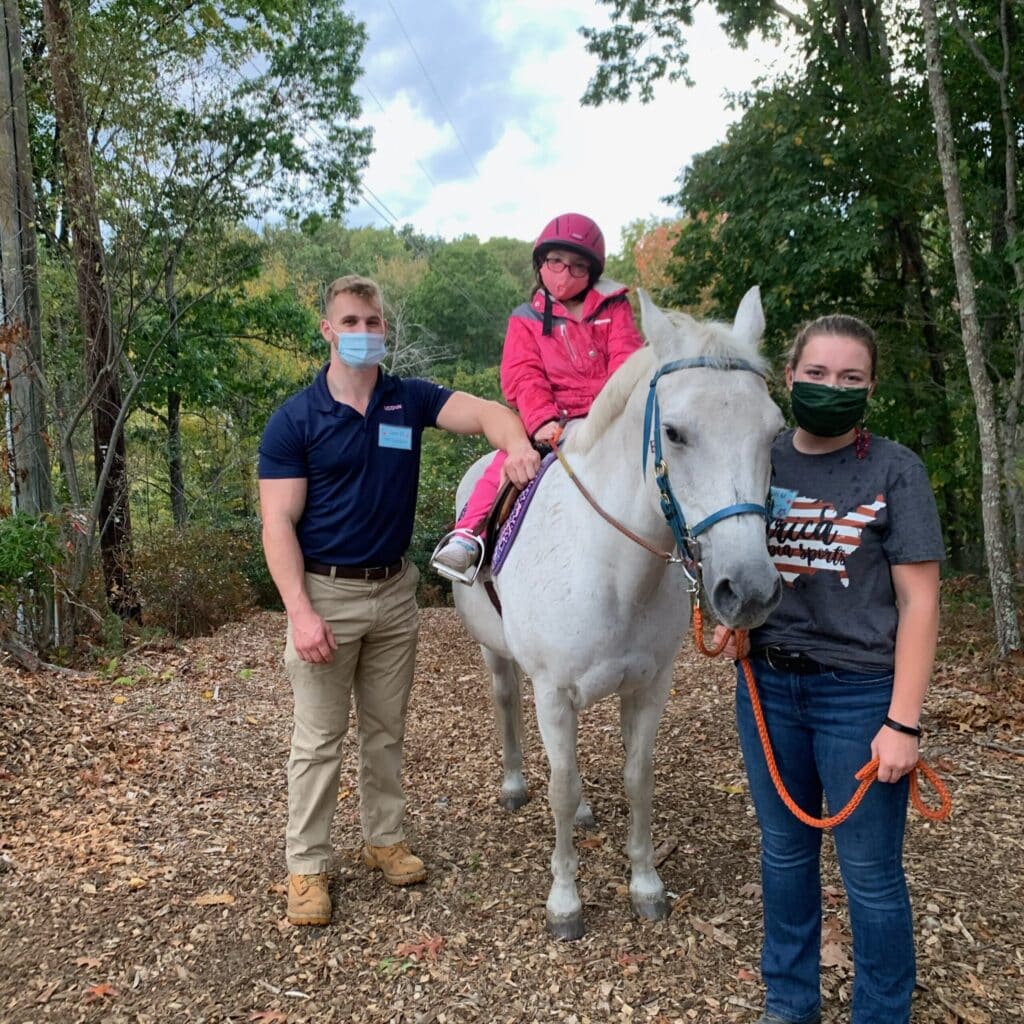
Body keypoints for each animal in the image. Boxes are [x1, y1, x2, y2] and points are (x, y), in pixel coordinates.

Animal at [450, 286, 782, 937]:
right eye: (673, 432)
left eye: (775, 431)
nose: (749, 590)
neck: (609, 567)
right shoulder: (552, 691)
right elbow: (556, 787)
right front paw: (564, 901)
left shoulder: (649, 687)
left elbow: (637, 777)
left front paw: (646, 885)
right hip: (495, 654)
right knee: (507, 704)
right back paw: (514, 784)